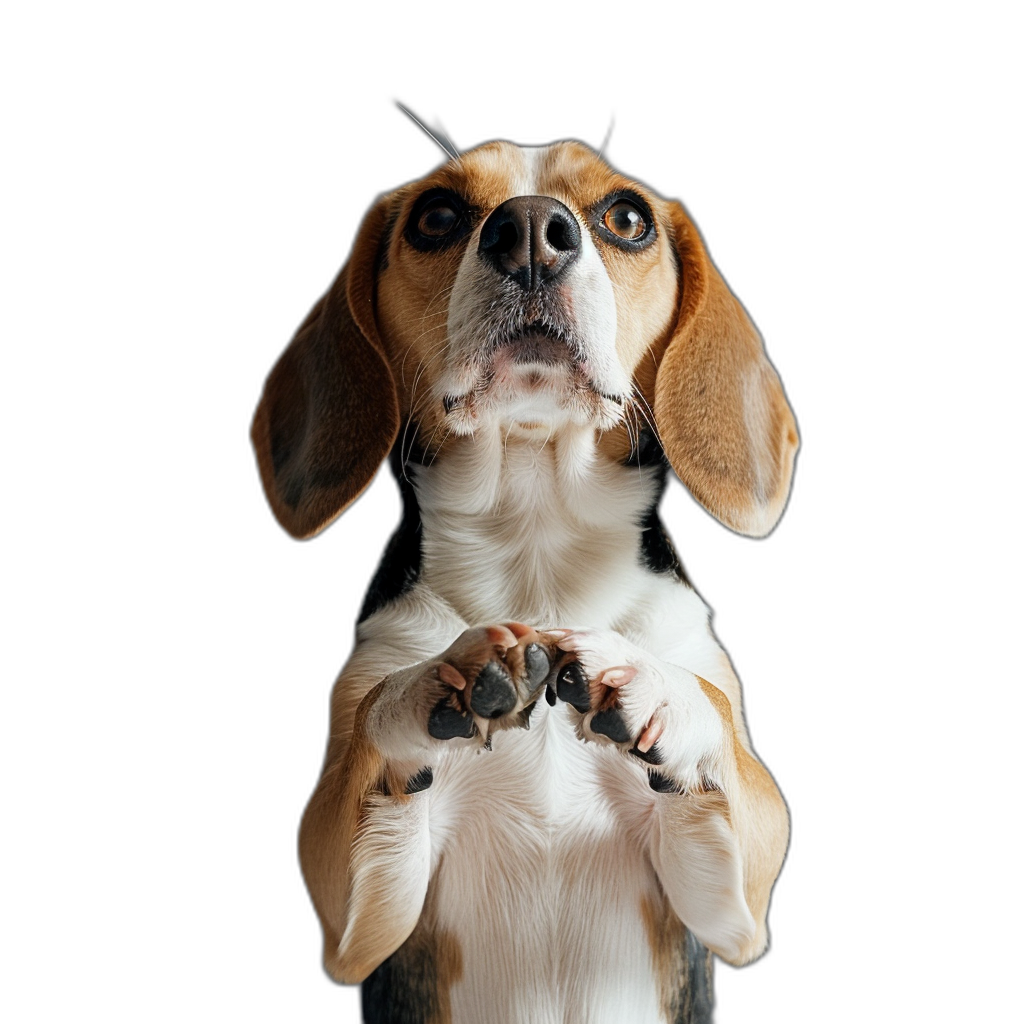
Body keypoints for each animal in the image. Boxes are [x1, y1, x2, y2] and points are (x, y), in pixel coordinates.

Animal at [249, 138, 798, 1024]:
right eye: (436, 215)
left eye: (627, 218)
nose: (533, 231)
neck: (536, 545)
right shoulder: (352, 919)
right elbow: (372, 715)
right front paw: (442, 678)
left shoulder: (736, 907)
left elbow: (718, 726)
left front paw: (649, 685)